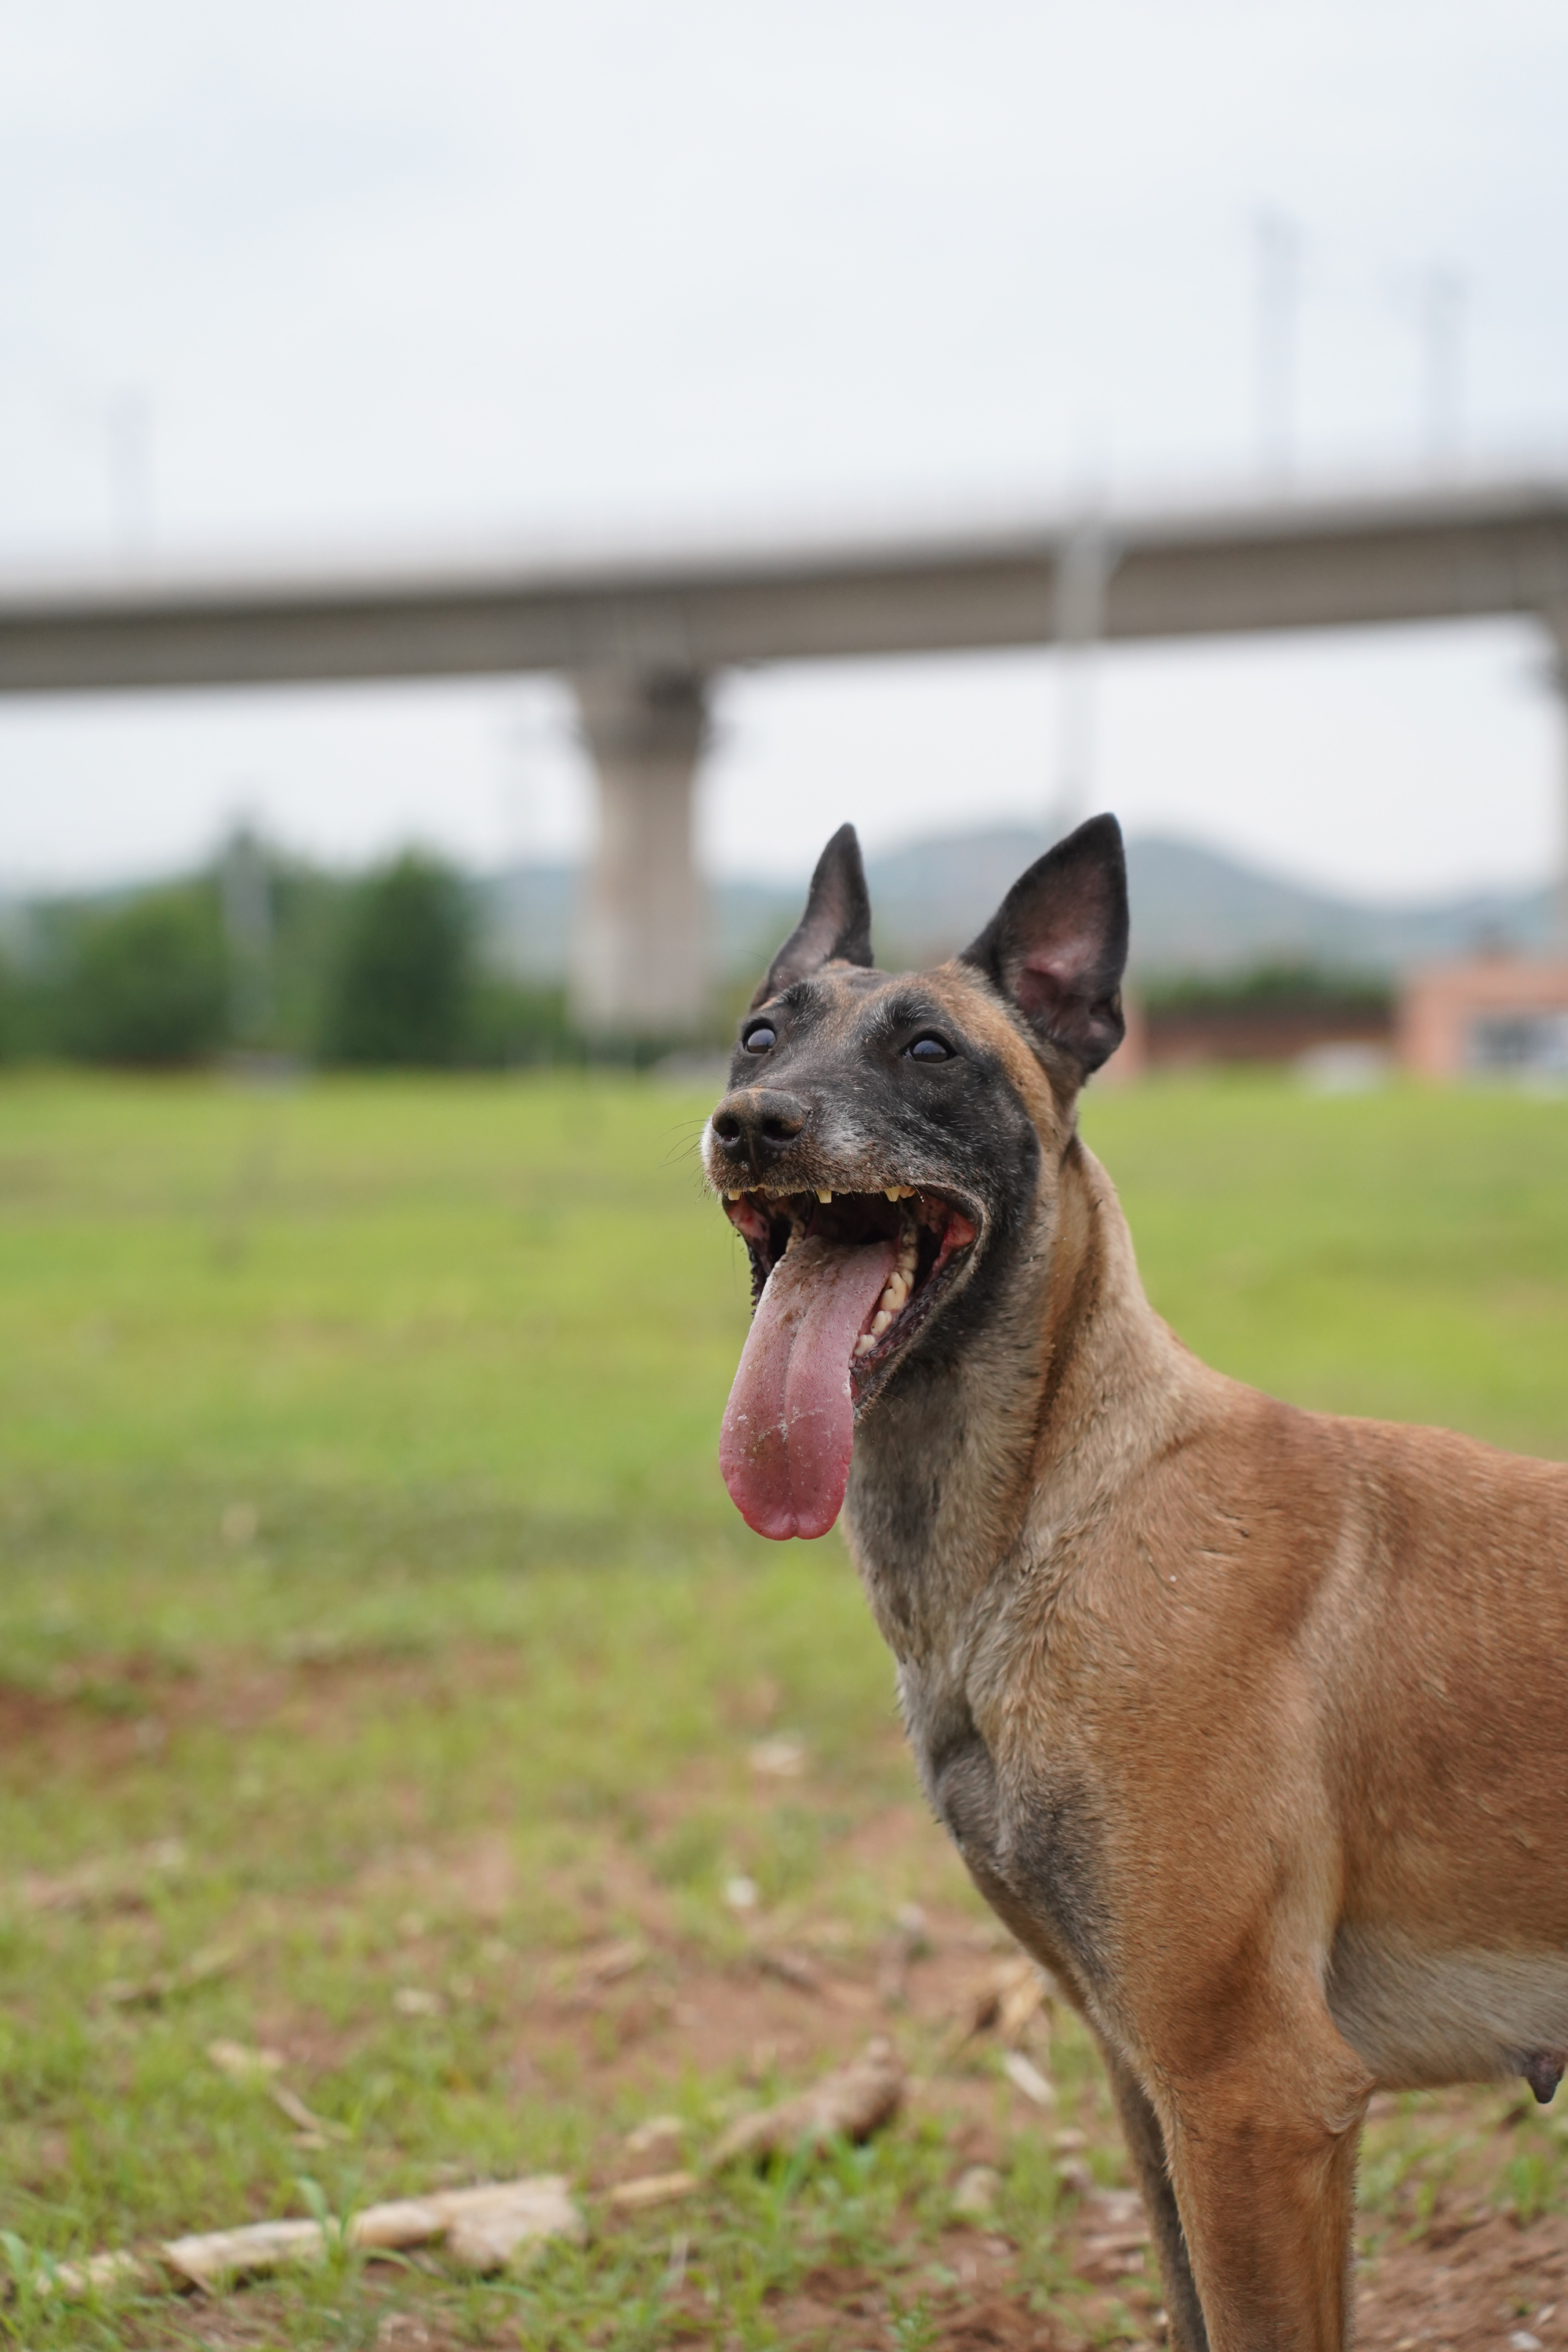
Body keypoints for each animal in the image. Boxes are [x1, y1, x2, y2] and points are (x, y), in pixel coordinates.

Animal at [710, 814, 1568, 2352]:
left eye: (929, 1049)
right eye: (758, 1037)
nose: (751, 1125)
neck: (1058, 1517)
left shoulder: (1257, 2100)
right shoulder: (1150, 2082)